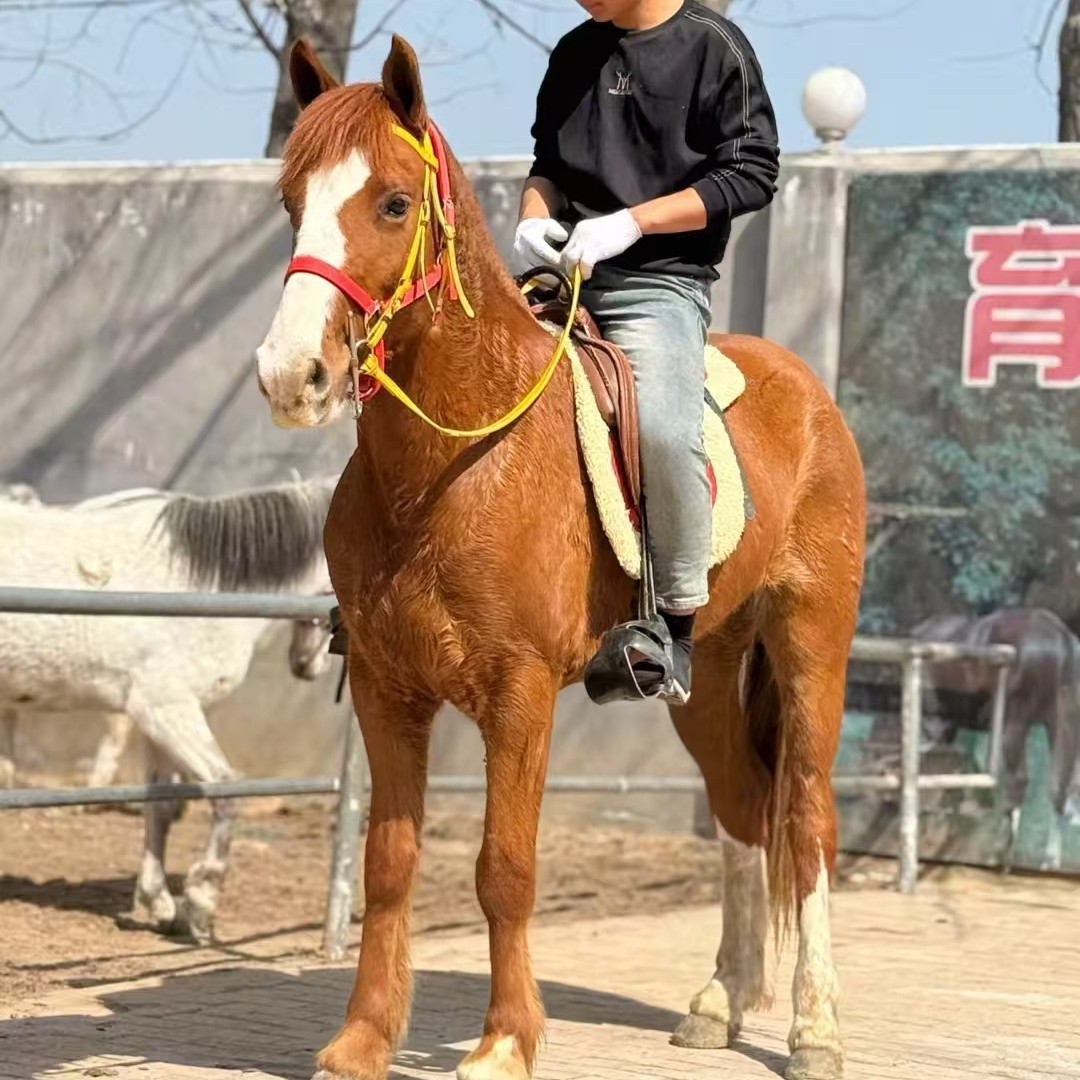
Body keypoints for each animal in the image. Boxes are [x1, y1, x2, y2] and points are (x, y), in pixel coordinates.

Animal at [0, 478, 336, 941]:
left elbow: (160, 805)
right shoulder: (166, 709)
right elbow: (226, 789)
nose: (307, 665)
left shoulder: (155, 721)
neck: (204, 589)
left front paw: (158, 902)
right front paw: (201, 901)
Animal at [254, 36, 866, 1080]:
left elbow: (504, 868)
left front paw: (505, 1040)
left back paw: (816, 1026)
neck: (449, 466)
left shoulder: (520, 692)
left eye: (393, 203)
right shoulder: (385, 685)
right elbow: (389, 863)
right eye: (293, 200)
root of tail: (811, 395)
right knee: (742, 813)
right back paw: (719, 1001)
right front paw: (363, 1039)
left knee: (807, 820)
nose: (292, 375)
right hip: (705, 678)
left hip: (811, 644)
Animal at [912, 608, 1080, 870]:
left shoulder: (938, 722)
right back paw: (1048, 859)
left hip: (1016, 723)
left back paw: (1002, 852)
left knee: (1019, 780)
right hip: (1063, 722)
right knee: (1059, 785)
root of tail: (1062, 640)